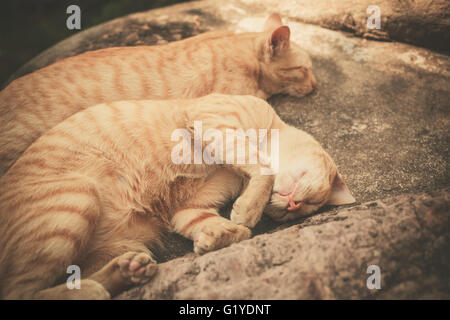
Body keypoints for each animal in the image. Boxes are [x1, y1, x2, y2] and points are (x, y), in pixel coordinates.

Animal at [0, 94, 354, 298]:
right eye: (307, 197)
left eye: (299, 211)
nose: (293, 204)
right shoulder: (213, 122)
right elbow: (263, 170)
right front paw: (247, 213)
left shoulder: (188, 209)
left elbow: (224, 227)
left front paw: (220, 235)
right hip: (76, 201)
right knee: (19, 291)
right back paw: (92, 290)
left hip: (120, 242)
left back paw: (127, 272)